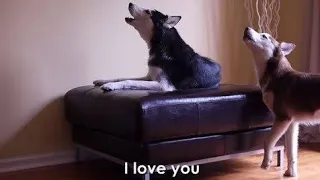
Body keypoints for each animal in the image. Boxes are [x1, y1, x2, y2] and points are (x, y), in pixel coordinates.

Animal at [244, 26, 320, 177]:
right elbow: (291, 152)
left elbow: (268, 141)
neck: (276, 75)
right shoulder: (292, 123)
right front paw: (291, 173)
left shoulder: (282, 118)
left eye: (264, 36)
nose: (247, 28)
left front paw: (266, 163)